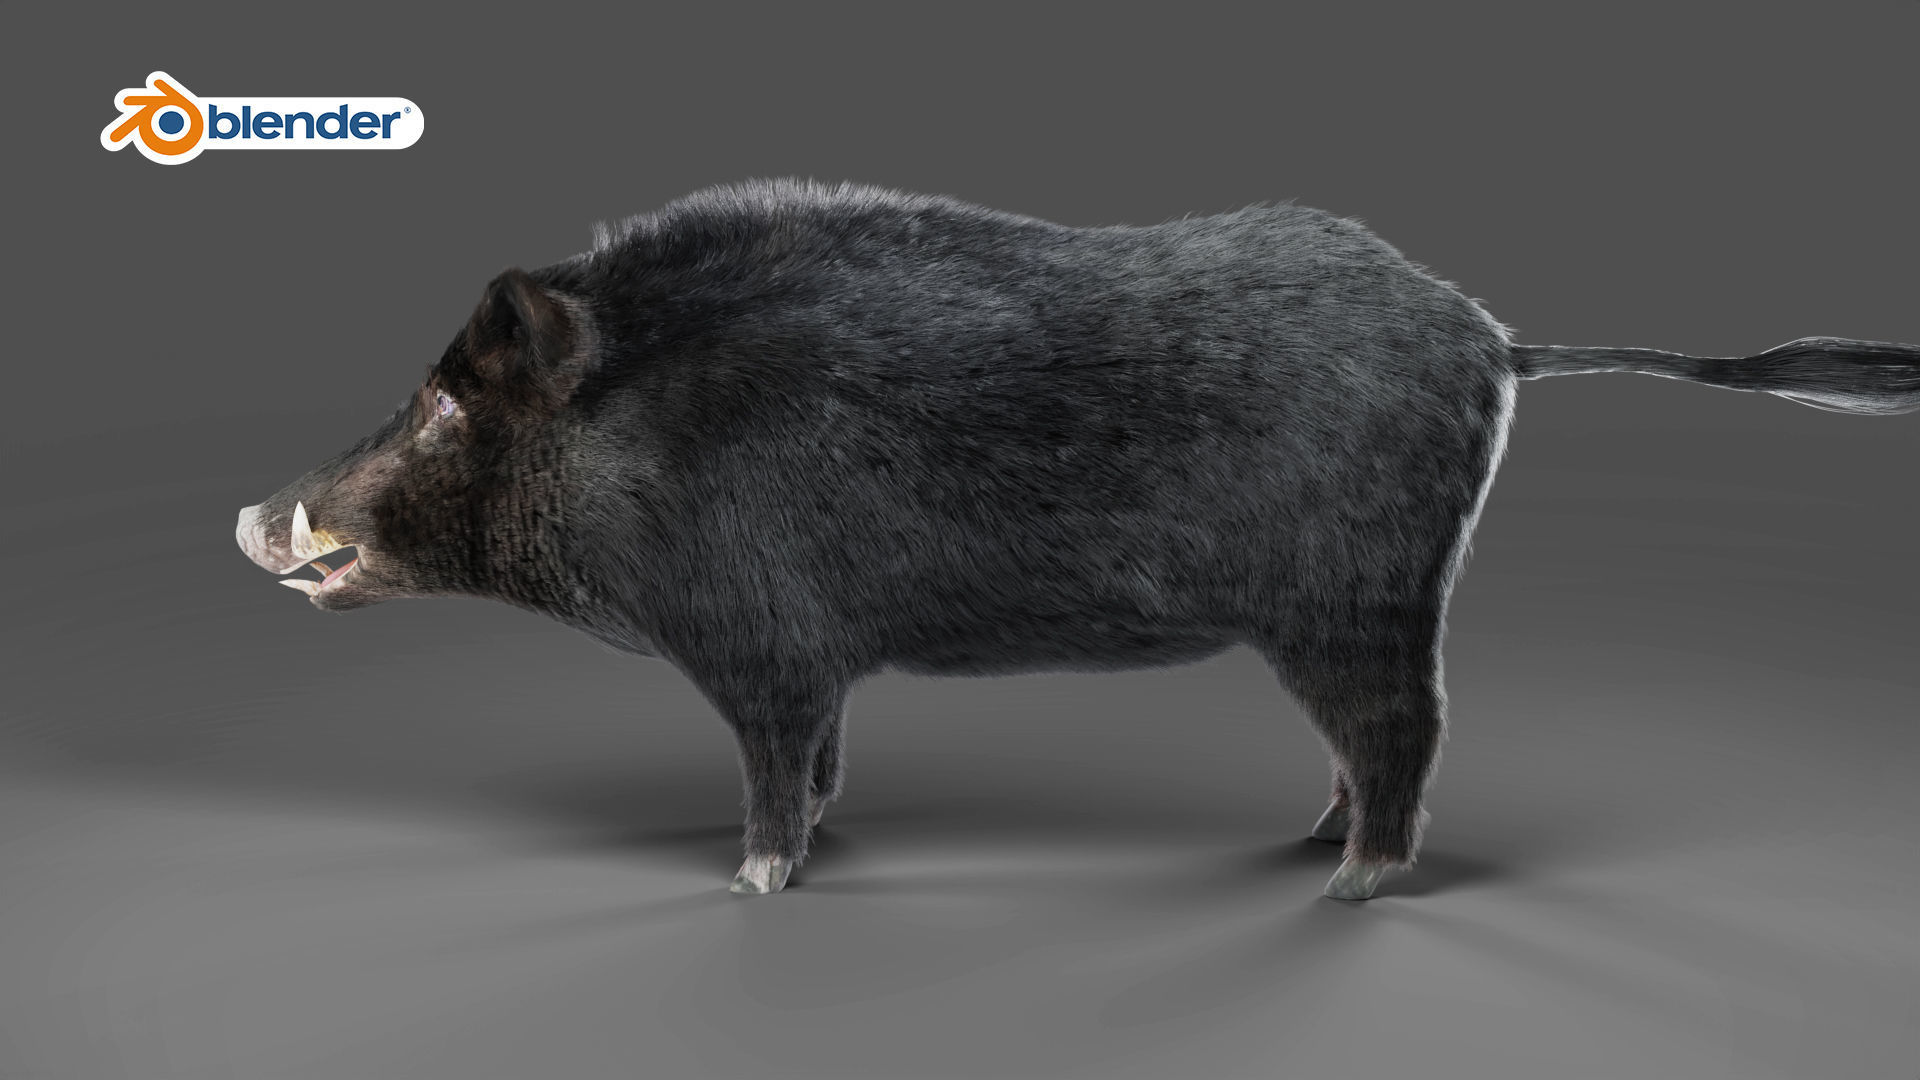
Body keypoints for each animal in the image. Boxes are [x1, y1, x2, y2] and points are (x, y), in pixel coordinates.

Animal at [235, 179, 1920, 900]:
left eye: (446, 409)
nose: (251, 510)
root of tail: (1495, 340)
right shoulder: (819, 662)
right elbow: (826, 759)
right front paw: (813, 847)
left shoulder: (760, 646)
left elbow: (774, 770)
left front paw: (755, 885)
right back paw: (1311, 842)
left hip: (1364, 595)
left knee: (1413, 726)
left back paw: (1350, 886)